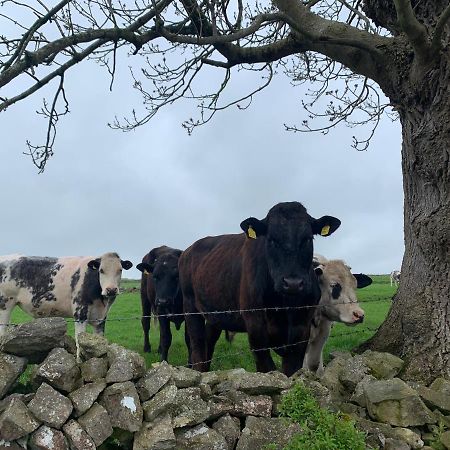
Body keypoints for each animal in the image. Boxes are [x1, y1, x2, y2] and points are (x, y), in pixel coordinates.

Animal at [0, 253, 133, 358]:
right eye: (101, 270)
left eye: (120, 270)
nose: (111, 290)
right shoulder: (80, 313)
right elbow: (79, 341)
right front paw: (79, 362)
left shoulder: (101, 318)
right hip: (5, 304)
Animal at [179, 201, 342, 376]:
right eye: (271, 239)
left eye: (308, 238)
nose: (292, 283)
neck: (285, 306)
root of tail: (188, 250)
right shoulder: (255, 327)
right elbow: (267, 368)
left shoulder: (302, 329)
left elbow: (291, 370)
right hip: (190, 307)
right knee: (197, 346)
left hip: (214, 315)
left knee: (209, 344)